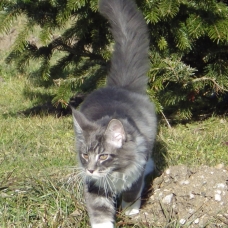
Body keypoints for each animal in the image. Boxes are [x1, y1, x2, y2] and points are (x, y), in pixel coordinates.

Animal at [71, 0, 157, 228]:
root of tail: (119, 86)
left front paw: (130, 211)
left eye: (103, 156)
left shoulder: (136, 168)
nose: (91, 169)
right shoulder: (95, 185)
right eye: (85, 155)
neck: (115, 172)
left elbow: (132, 191)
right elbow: (100, 211)